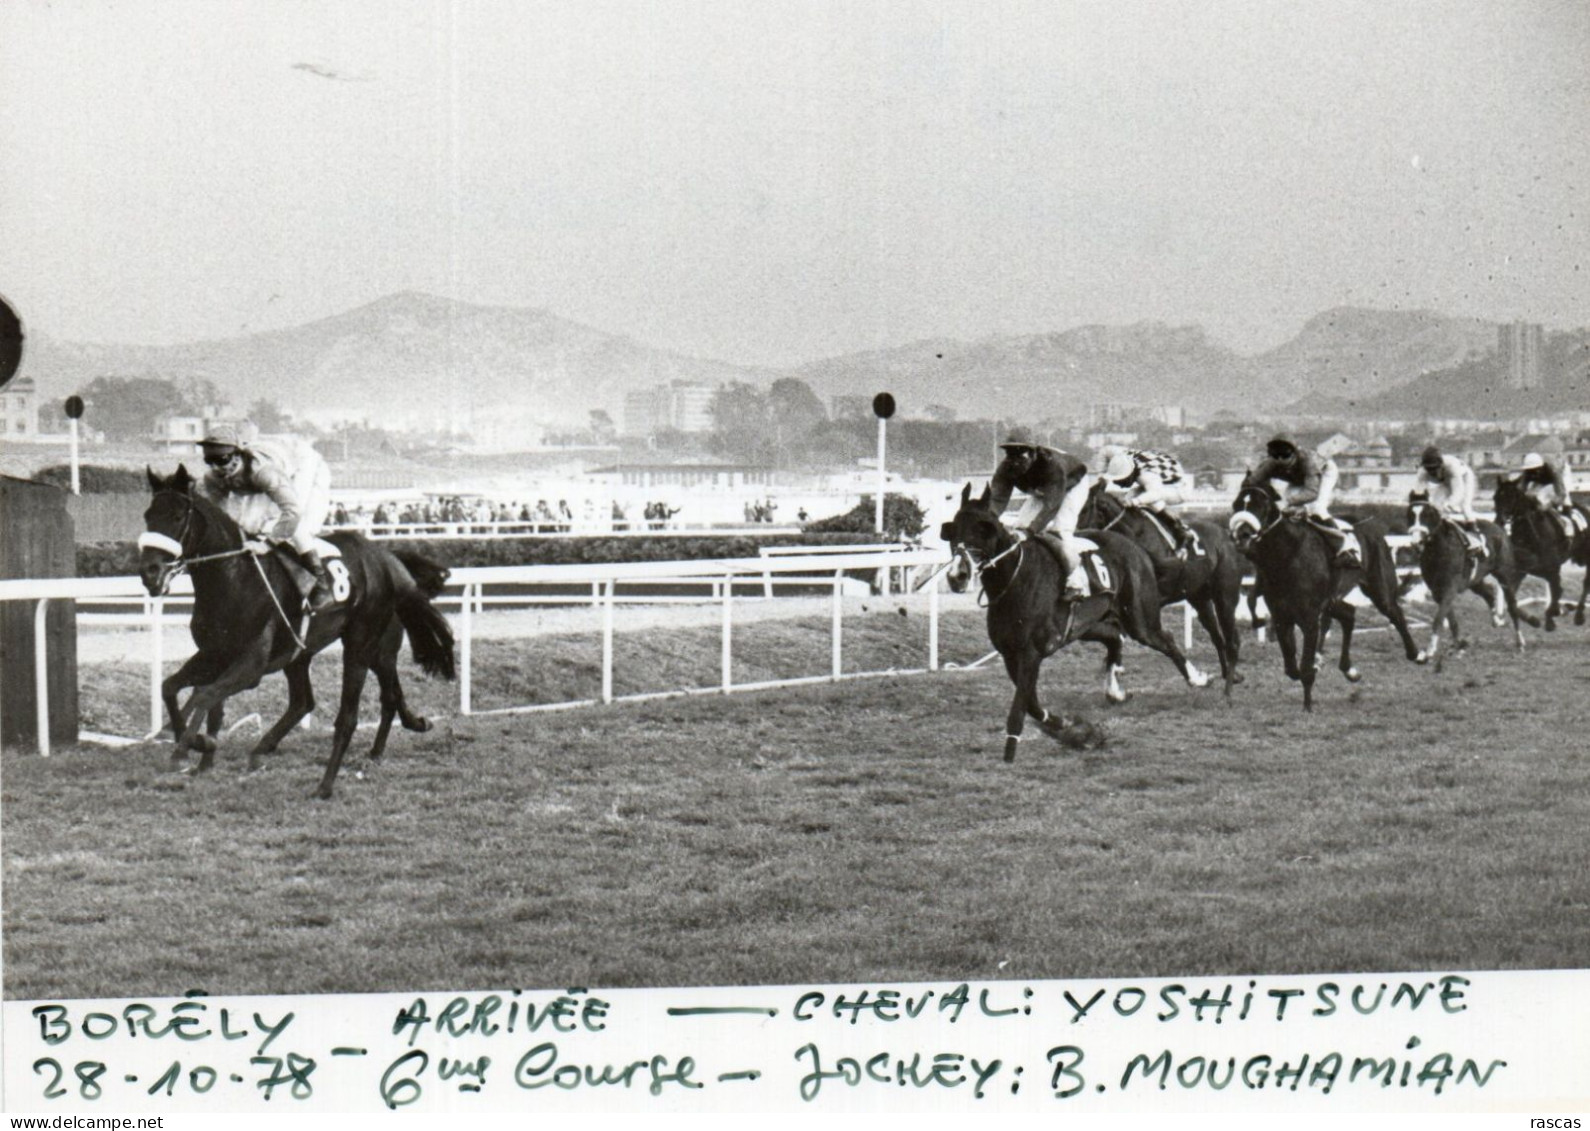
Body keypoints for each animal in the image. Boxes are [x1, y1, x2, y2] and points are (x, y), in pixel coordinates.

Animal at [139, 464, 457, 801]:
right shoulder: (213, 655)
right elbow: (171, 687)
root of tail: (387, 558)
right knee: (314, 700)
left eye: (176, 517)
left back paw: (326, 784)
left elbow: (204, 694)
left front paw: (190, 747)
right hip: (306, 653)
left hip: (364, 645)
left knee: (352, 715)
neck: (235, 581)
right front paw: (192, 745)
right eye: (148, 515)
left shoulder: (251, 667)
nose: (149, 573)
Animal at [934, 483, 1208, 766]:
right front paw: (1071, 728)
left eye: (983, 528)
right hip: (1085, 626)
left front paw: (1010, 751)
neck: (1014, 580)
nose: (957, 575)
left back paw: (1196, 678)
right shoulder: (1010, 654)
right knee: (1114, 636)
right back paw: (1115, 691)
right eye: (953, 529)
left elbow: (1020, 707)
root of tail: (1134, 546)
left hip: (1140, 619)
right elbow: (1032, 704)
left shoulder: (1031, 652)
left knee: (1165, 639)